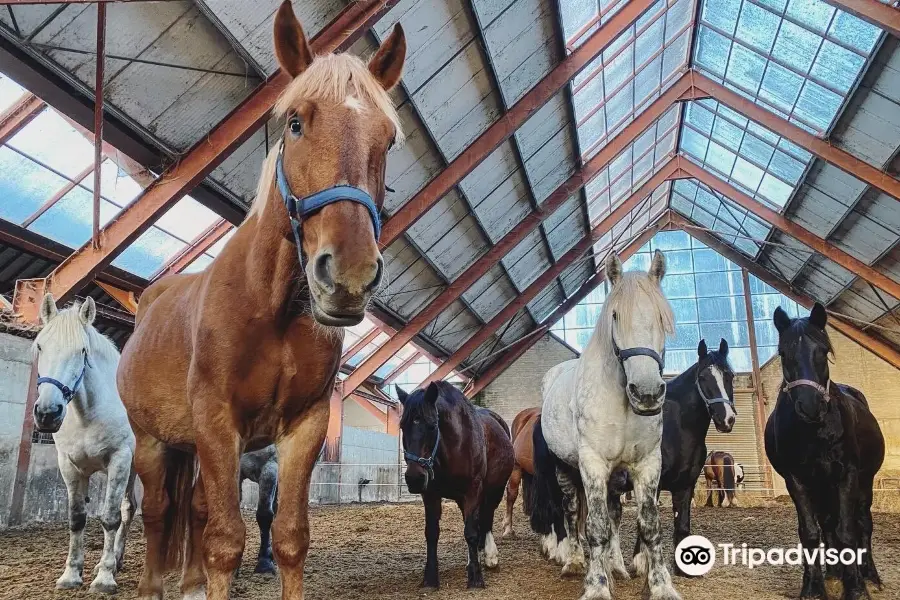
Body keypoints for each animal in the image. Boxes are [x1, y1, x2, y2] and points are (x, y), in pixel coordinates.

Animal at [33, 292, 136, 592]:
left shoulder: (119, 460)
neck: (88, 413)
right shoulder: (70, 466)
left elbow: (110, 517)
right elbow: (77, 518)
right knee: (129, 509)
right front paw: (71, 575)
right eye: (40, 346)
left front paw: (104, 579)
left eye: (82, 351)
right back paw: (117, 560)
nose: (47, 413)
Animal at [118, 2, 406, 596]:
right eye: (295, 122)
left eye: (388, 139)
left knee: (191, 508)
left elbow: (289, 537)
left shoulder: (305, 428)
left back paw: (188, 584)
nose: (349, 275)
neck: (270, 308)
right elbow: (225, 541)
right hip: (150, 440)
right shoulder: (216, 424)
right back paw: (153, 585)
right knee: (158, 512)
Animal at [396, 382, 512, 588]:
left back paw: (490, 556)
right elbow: (432, 533)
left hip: (495, 490)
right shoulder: (431, 494)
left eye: (433, 426)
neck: (454, 446)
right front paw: (430, 578)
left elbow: (472, 532)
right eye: (403, 426)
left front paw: (475, 578)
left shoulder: (473, 490)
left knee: (487, 518)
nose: (414, 478)